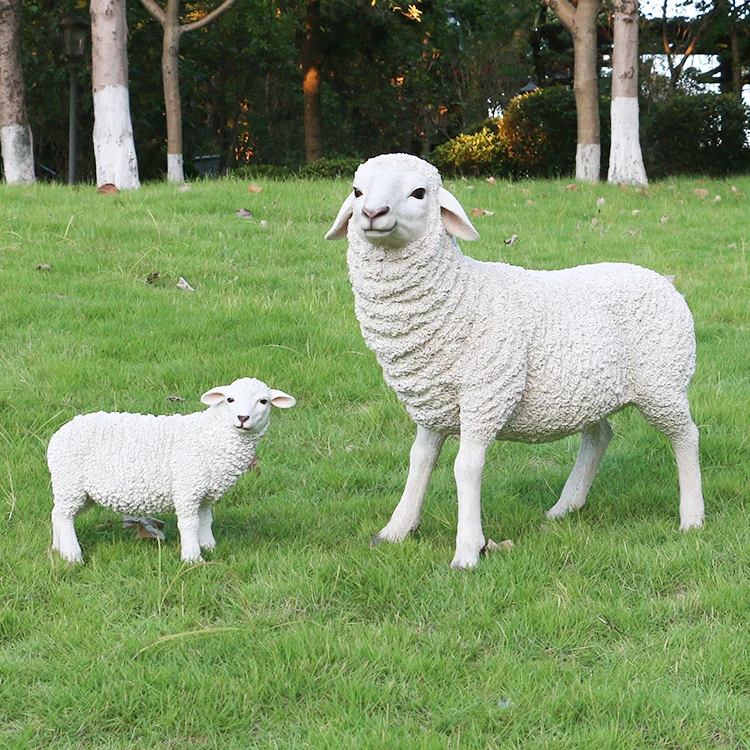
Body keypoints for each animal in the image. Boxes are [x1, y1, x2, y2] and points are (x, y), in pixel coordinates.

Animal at [48, 378, 295, 563]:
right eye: (230, 399)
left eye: (263, 401)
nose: (243, 418)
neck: (212, 436)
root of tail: (58, 434)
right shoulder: (187, 487)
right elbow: (189, 523)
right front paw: (193, 558)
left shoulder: (205, 494)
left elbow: (205, 520)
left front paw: (209, 546)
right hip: (69, 481)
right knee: (63, 516)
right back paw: (72, 555)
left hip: (80, 490)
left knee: (58, 514)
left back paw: (57, 549)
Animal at [325, 152, 704, 569]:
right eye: (357, 191)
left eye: (419, 193)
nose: (372, 213)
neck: (461, 295)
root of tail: (664, 280)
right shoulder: (432, 403)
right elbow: (419, 460)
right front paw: (395, 531)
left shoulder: (486, 394)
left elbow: (466, 467)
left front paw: (467, 551)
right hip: (590, 389)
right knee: (599, 436)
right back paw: (565, 507)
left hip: (662, 381)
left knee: (686, 436)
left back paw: (692, 517)